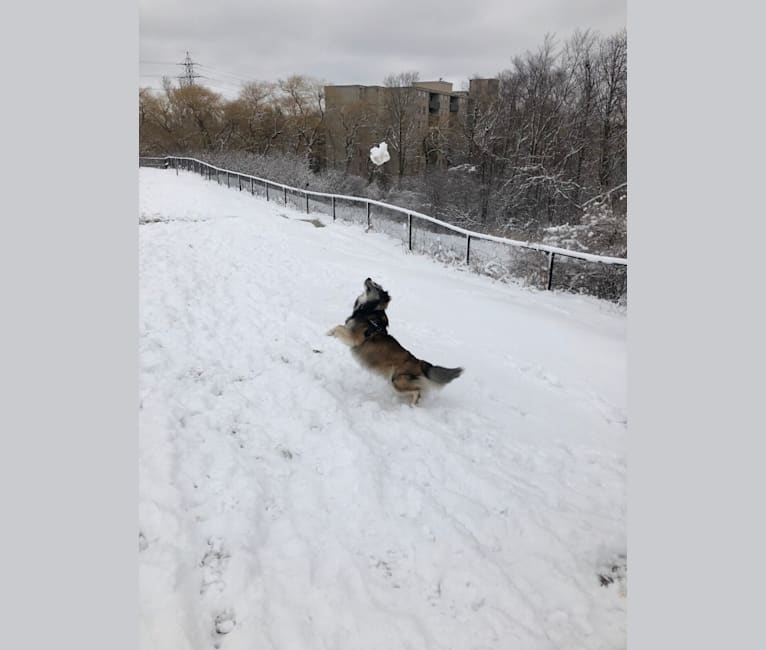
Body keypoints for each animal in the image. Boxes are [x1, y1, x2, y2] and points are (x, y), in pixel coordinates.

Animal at [328, 276, 464, 402]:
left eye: (376, 285)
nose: (369, 277)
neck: (370, 310)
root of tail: (419, 363)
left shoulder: (354, 338)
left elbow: (338, 327)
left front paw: (329, 333)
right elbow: (339, 327)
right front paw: (331, 333)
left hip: (397, 381)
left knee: (417, 391)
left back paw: (413, 405)